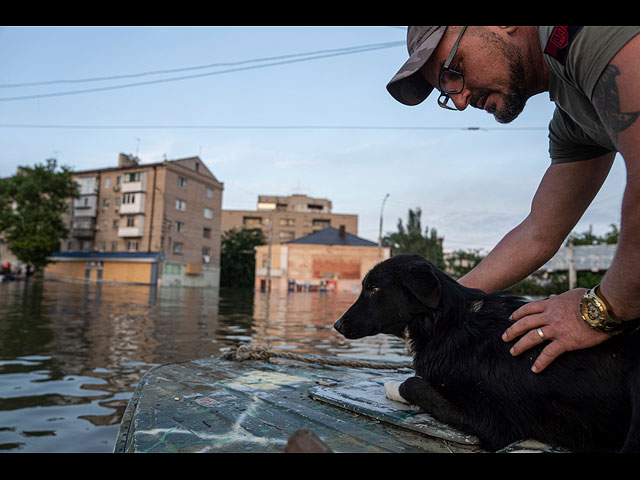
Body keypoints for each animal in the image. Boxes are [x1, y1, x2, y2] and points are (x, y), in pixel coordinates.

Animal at [332, 253, 640, 452]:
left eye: (373, 289)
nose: (336, 324)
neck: (447, 325)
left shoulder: (493, 422)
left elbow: (413, 384)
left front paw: (394, 386)